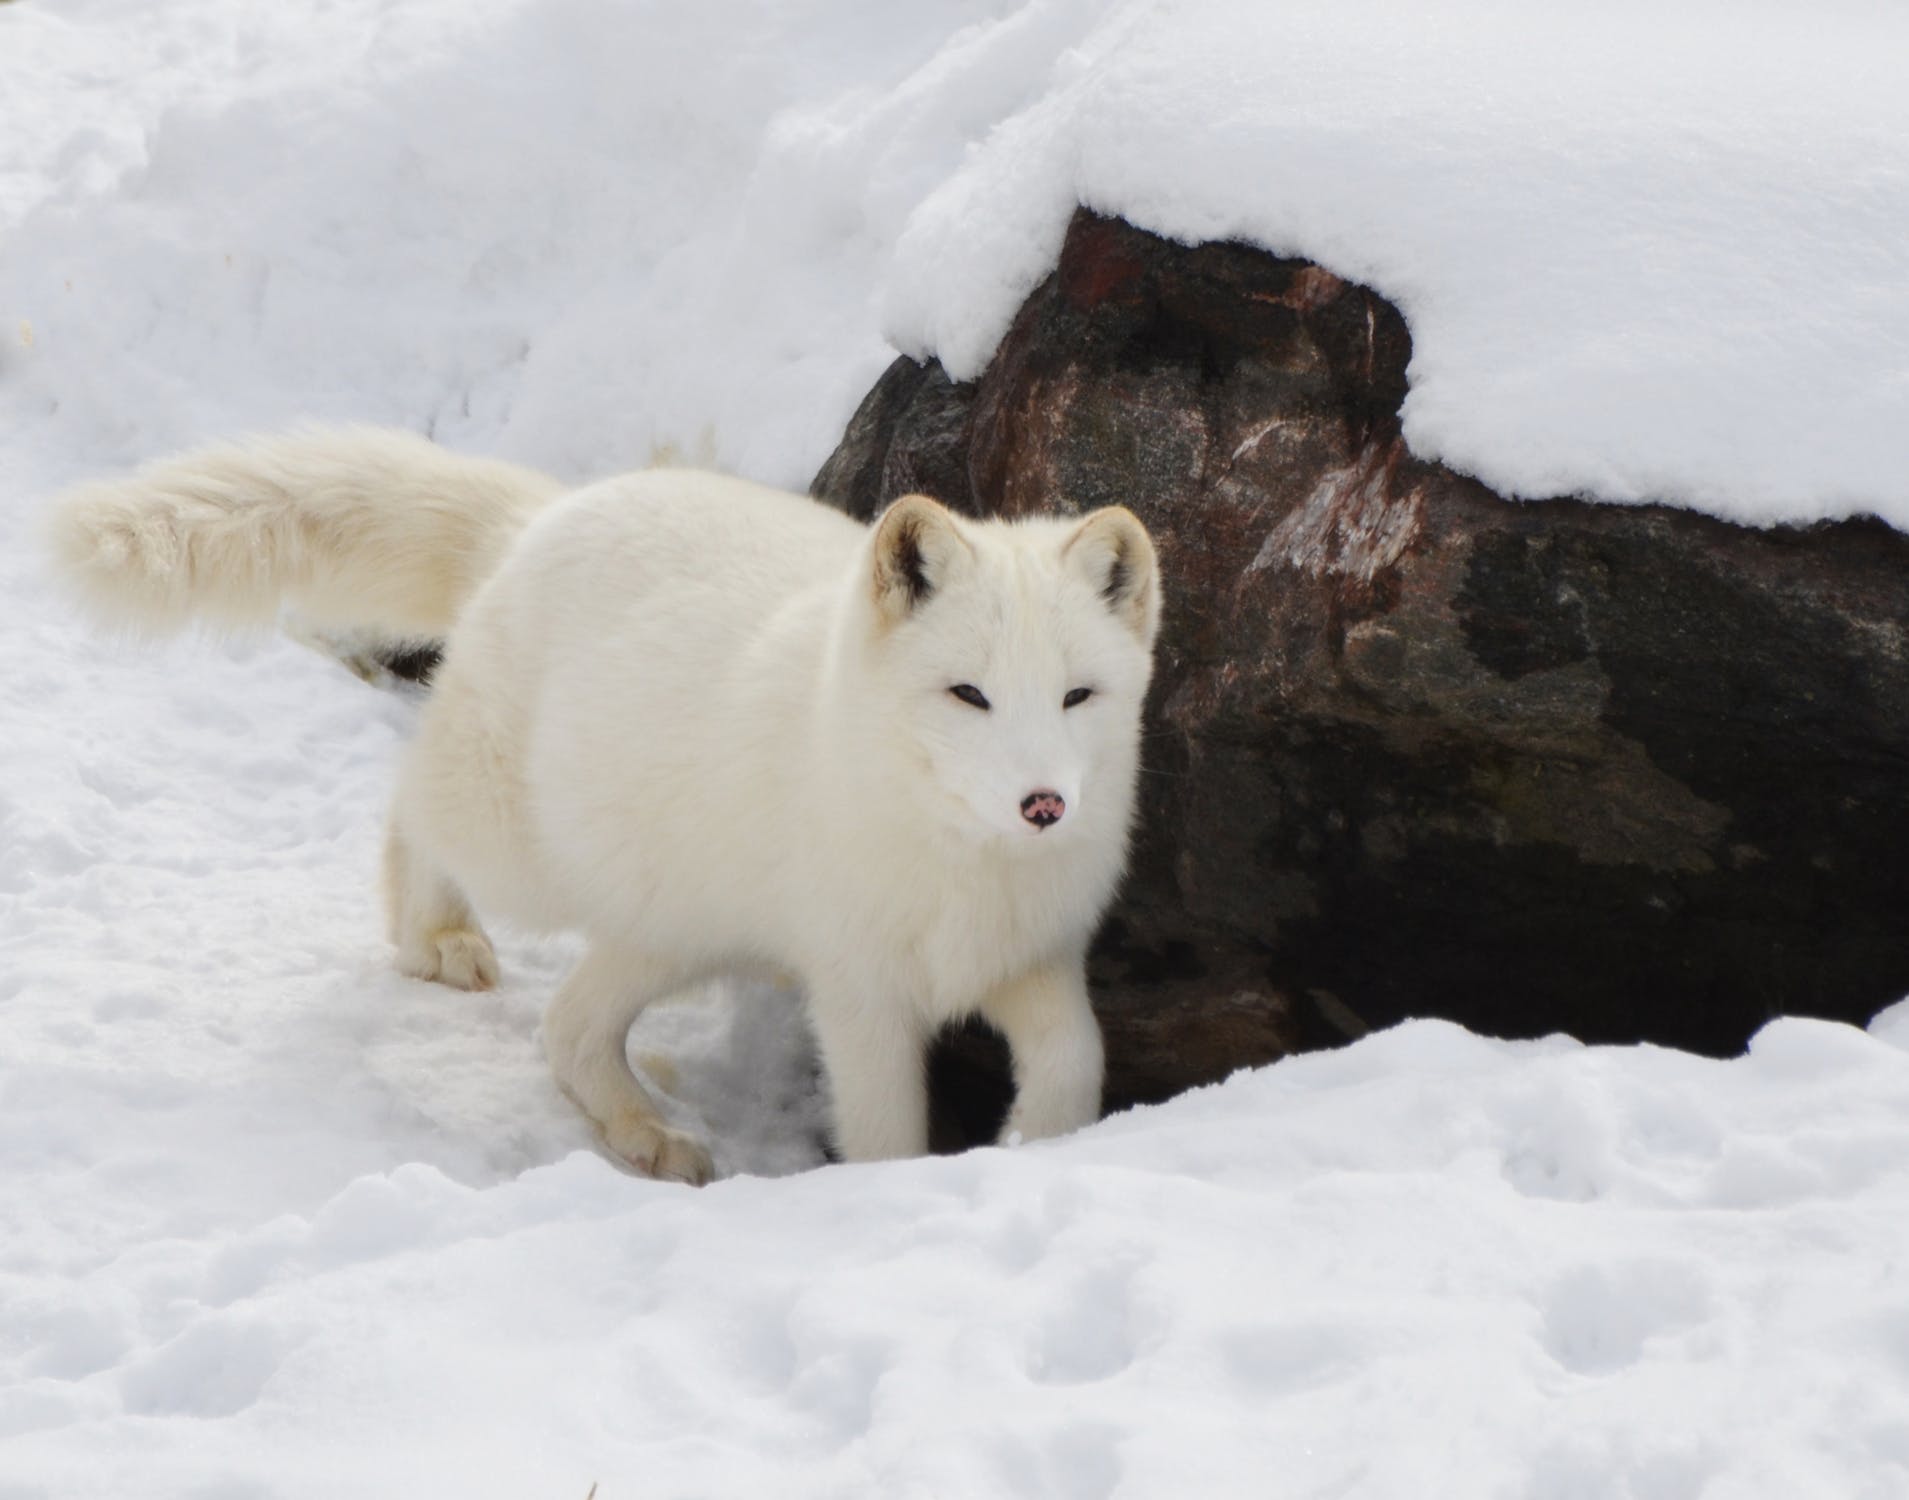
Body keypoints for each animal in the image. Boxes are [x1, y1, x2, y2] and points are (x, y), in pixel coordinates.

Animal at [52, 429, 1160, 1183]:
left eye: (1076, 696)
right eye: (968, 694)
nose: (1044, 804)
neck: (963, 866)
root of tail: (541, 520)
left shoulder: (1034, 959)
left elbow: (1077, 1061)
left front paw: (1041, 1146)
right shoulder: (860, 994)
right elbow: (885, 1134)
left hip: (674, 926)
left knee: (569, 1030)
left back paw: (646, 1133)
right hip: (525, 855)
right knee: (412, 809)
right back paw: (435, 936)